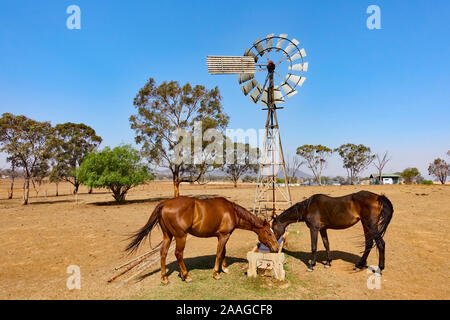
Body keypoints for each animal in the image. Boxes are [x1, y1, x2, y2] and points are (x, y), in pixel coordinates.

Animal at [125, 196, 278, 284]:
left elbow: (223, 252)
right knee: (178, 254)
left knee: (163, 253)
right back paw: (186, 276)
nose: (276, 248)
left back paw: (164, 278)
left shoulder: (222, 236)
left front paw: (225, 268)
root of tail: (164, 204)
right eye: (268, 233)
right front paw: (216, 274)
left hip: (167, 236)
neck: (232, 211)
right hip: (181, 237)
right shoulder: (224, 235)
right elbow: (219, 253)